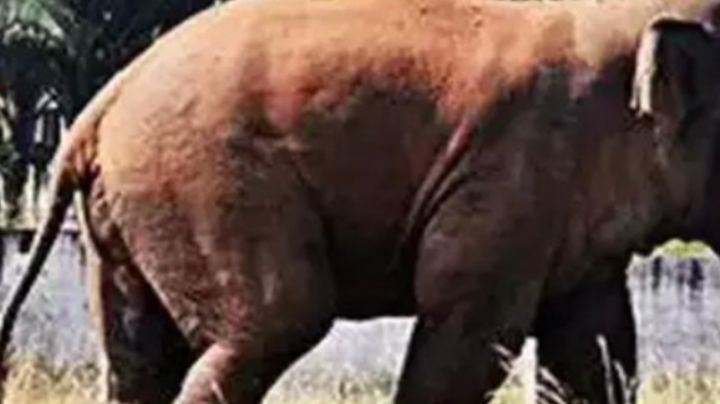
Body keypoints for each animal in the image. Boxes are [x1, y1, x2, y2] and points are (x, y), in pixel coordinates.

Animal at [1, 0, 720, 403]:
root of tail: (102, 102)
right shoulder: (513, 174)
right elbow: (470, 332)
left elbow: (592, 349)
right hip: (205, 184)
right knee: (274, 323)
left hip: (129, 216)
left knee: (138, 361)